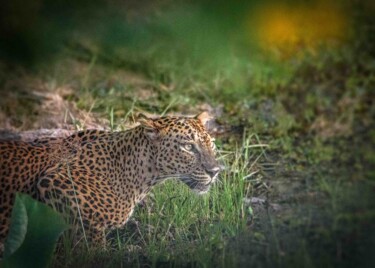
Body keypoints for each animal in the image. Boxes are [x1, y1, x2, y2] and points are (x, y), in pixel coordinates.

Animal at [0, 112, 220, 254]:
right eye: (188, 147)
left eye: (211, 144)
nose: (215, 171)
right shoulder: (54, 182)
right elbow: (91, 234)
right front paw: (100, 253)